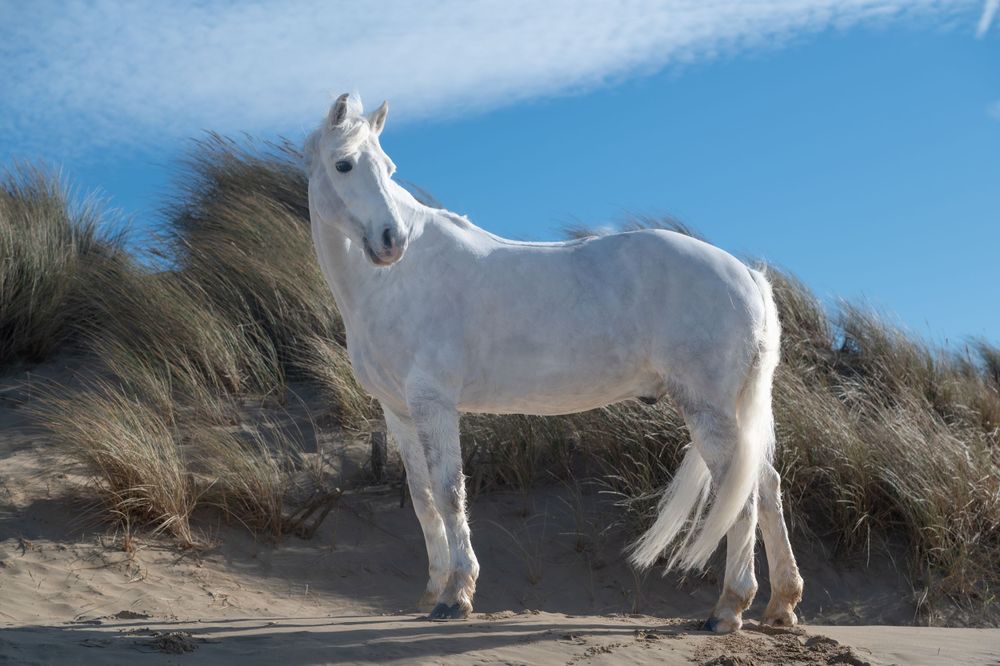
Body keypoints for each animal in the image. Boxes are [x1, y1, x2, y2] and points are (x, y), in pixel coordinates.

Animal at [304, 93, 803, 633]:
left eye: (388, 167)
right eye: (344, 164)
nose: (391, 241)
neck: (396, 282)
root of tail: (748, 275)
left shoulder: (433, 403)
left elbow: (448, 491)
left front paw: (457, 595)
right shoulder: (398, 410)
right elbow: (421, 497)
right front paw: (434, 589)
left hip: (707, 408)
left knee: (742, 492)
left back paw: (729, 608)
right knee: (766, 485)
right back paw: (782, 605)